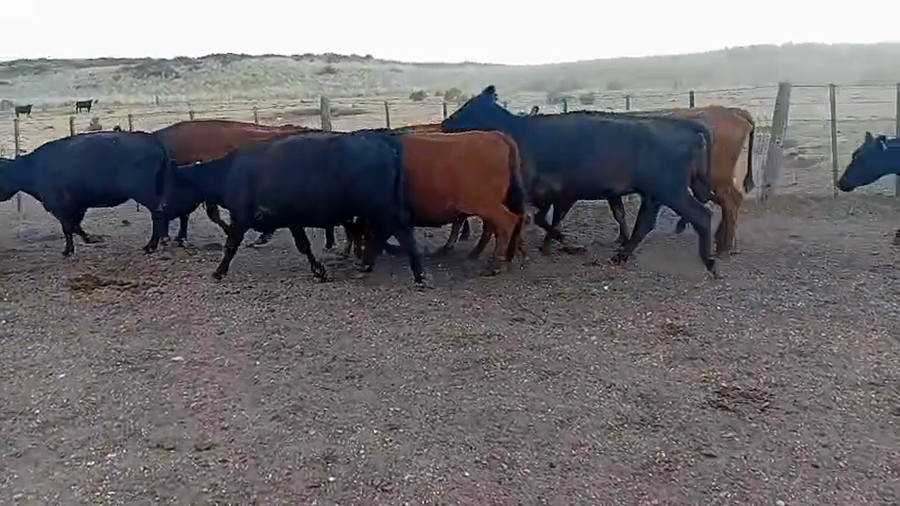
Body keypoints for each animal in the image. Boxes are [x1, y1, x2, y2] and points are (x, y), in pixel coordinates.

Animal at [0, 131, 174, 256]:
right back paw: (162, 241)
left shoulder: (61, 207)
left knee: (157, 213)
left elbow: (68, 228)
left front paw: (69, 250)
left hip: (144, 194)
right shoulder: (77, 206)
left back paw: (151, 246)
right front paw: (91, 239)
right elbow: (75, 226)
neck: (33, 167)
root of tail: (152, 140)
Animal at [156, 130, 426, 285]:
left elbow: (231, 244)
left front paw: (219, 271)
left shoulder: (241, 216)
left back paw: (418, 273)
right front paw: (319, 271)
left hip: (381, 205)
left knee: (399, 228)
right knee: (389, 229)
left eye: (173, 184)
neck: (230, 172)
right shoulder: (291, 218)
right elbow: (303, 245)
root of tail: (382, 143)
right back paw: (370, 264)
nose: (161, 207)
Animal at [442, 85, 719, 278]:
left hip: (670, 189)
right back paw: (622, 255)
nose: (444, 122)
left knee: (701, 215)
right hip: (655, 194)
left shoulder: (551, 193)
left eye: (469, 105)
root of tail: (685, 126)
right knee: (645, 223)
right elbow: (541, 220)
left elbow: (534, 220)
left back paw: (710, 262)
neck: (519, 132)